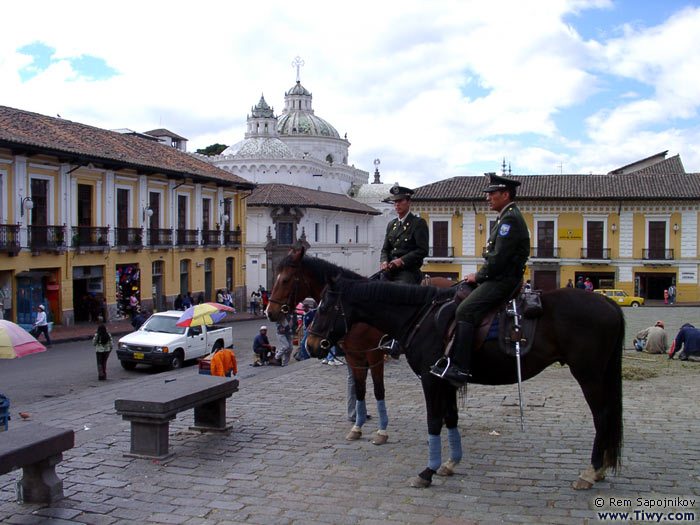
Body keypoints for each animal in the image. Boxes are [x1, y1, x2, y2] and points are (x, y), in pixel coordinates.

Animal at [306, 276, 624, 490]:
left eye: (325, 308)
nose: (311, 345)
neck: (420, 317)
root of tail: (607, 301)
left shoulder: (430, 380)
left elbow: (434, 421)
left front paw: (428, 471)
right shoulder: (444, 378)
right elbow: (451, 418)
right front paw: (450, 463)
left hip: (589, 375)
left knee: (602, 416)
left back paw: (591, 471)